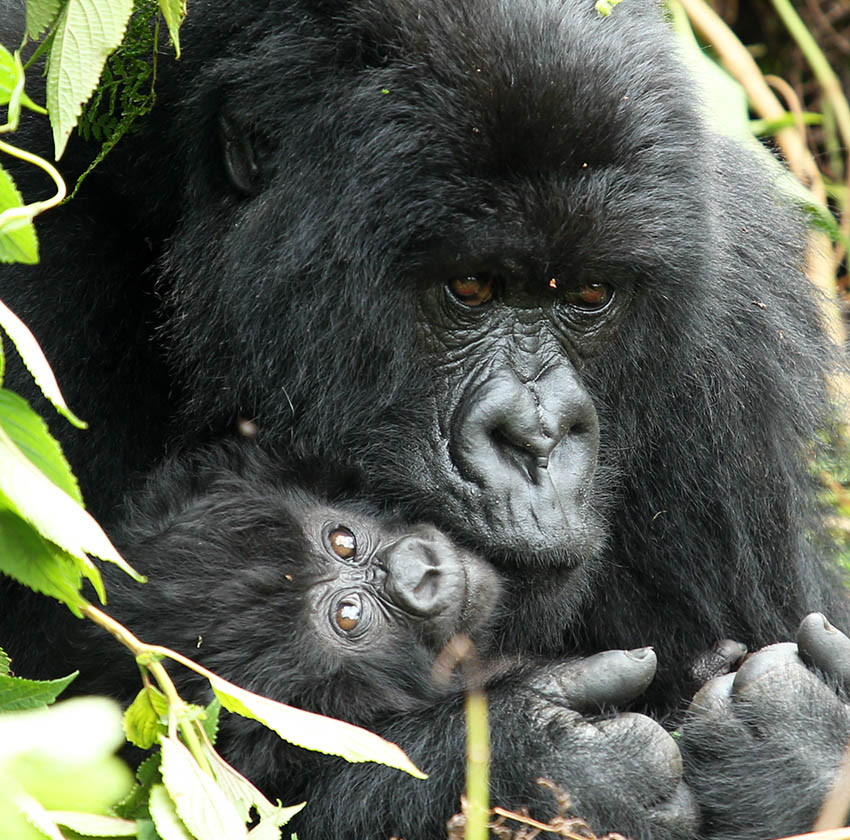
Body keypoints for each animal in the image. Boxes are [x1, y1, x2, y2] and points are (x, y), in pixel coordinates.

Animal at [1, 0, 848, 836]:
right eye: (469, 287)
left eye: (590, 294)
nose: (536, 440)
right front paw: (545, 764)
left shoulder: (740, 303)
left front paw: (793, 748)